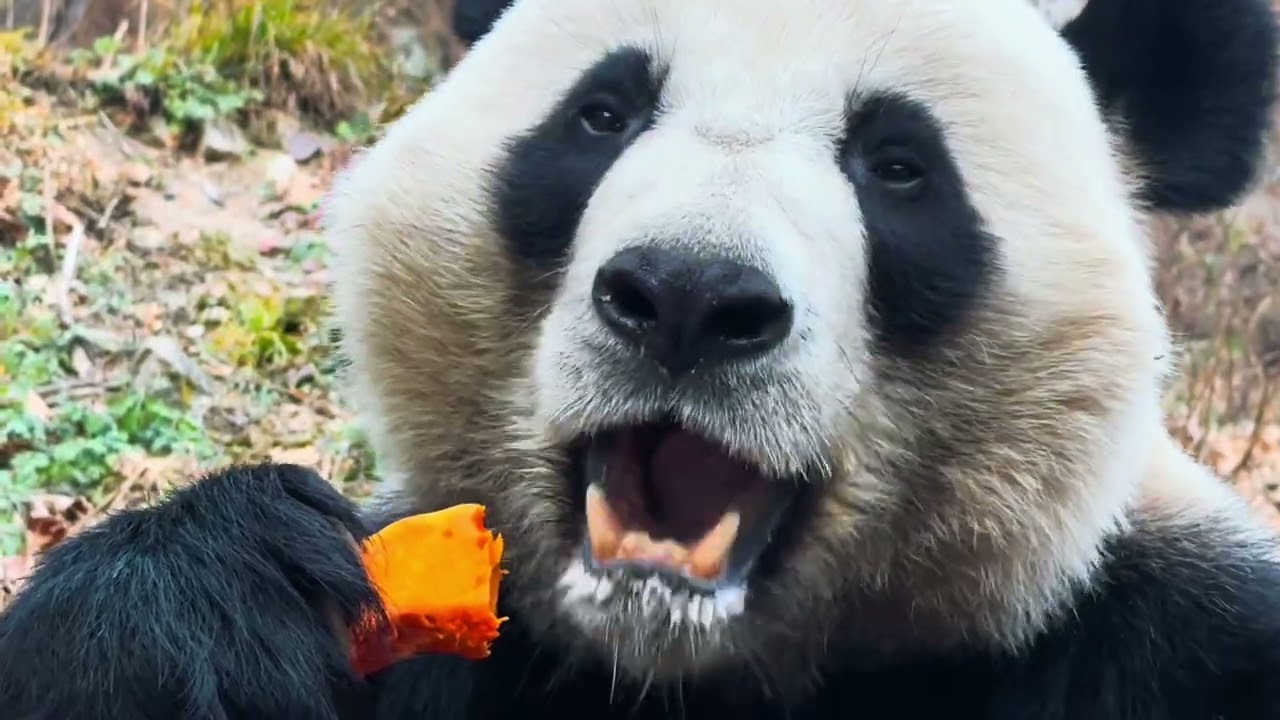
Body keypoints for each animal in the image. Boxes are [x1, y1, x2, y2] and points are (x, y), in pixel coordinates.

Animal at [3, 0, 1280, 717]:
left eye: (896, 166)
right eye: (602, 114)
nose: (687, 295)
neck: (675, 669)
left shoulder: (1165, 638)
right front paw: (203, 601)